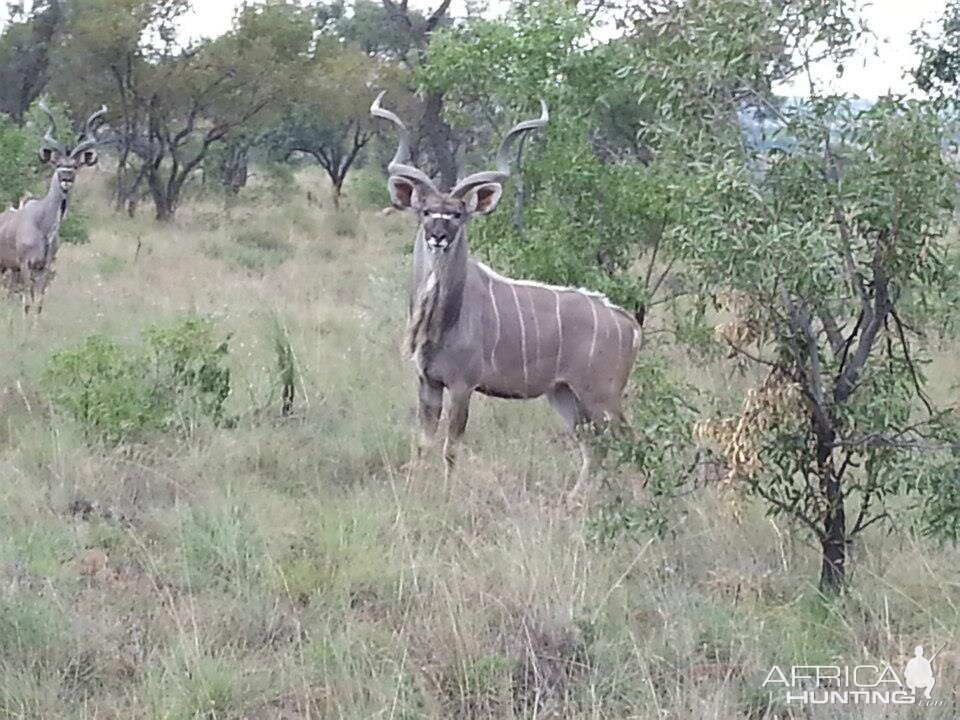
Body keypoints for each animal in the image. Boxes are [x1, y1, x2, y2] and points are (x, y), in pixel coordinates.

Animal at [0, 102, 107, 316]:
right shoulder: (25, 265)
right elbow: (27, 303)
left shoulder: (44, 267)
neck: (43, 225)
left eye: (75, 166)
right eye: (58, 164)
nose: (66, 179)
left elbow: (38, 303)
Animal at [372, 94, 640, 496]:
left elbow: (451, 447)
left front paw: (447, 496)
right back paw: (576, 499)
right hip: (564, 394)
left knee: (627, 440)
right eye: (426, 211)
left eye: (457, 214)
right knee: (592, 446)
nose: (438, 236)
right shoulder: (428, 382)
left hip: (601, 395)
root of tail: (630, 325)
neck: (442, 320)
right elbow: (423, 444)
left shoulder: (463, 385)